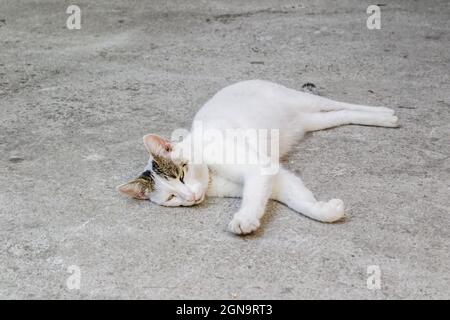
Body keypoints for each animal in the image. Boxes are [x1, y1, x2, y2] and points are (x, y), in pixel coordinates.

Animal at [118, 80, 400, 235]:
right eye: (171, 197)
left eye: (183, 174)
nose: (190, 197)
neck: (211, 178)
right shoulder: (275, 178)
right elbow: (298, 200)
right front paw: (327, 211)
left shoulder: (259, 167)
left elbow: (253, 198)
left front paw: (245, 219)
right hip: (310, 121)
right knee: (341, 115)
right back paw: (383, 119)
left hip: (305, 100)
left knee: (337, 103)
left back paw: (385, 112)